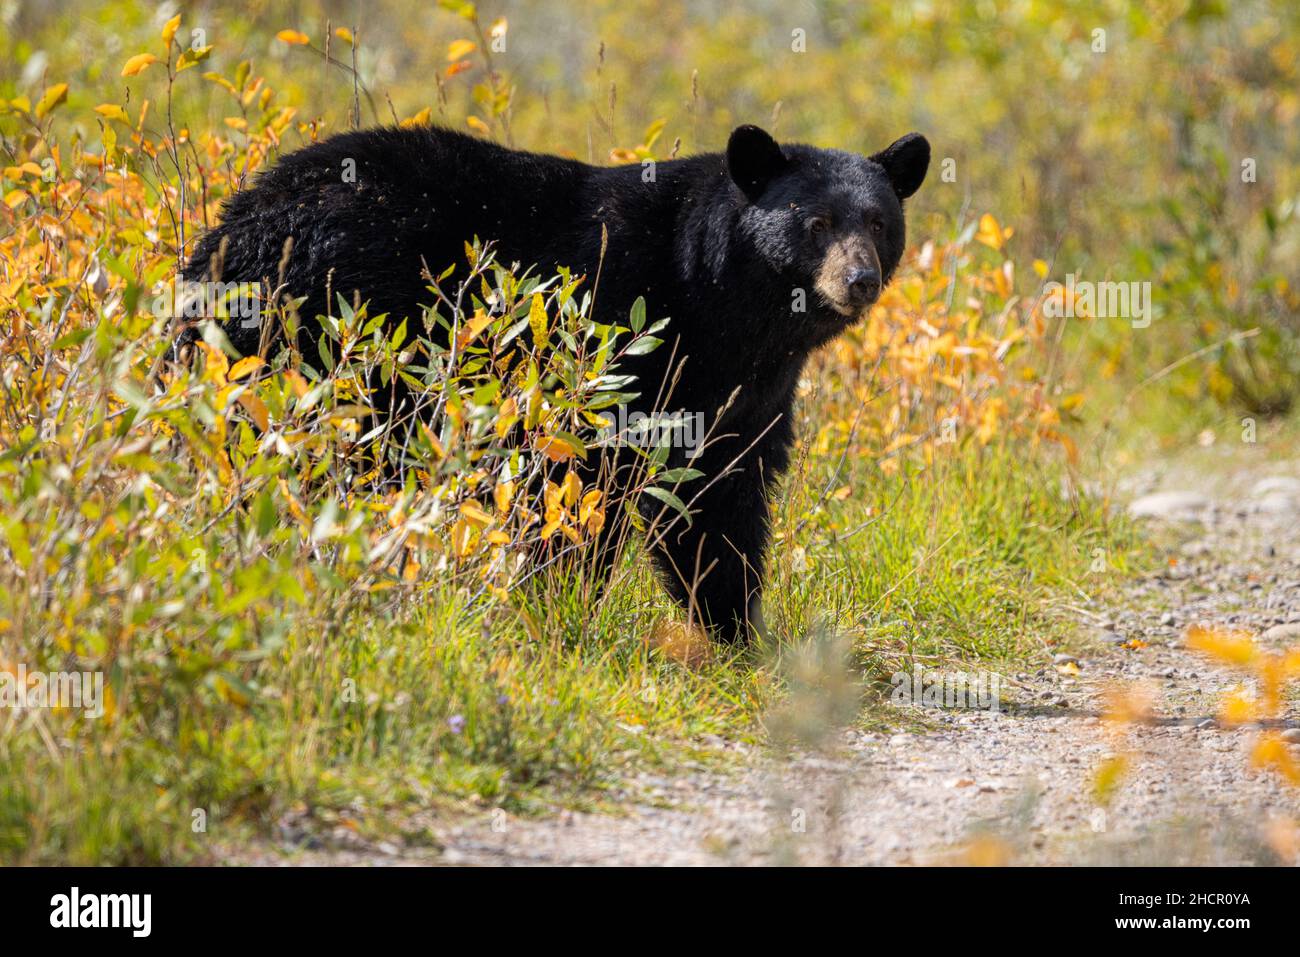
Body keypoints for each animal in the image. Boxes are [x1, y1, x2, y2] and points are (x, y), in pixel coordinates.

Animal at [178, 123, 930, 642]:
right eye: (817, 222)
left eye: (878, 222)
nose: (858, 279)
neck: (722, 302)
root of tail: (227, 234)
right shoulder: (617, 339)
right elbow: (580, 484)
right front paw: (560, 599)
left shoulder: (742, 389)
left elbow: (720, 493)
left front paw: (738, 632)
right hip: (340, 333)